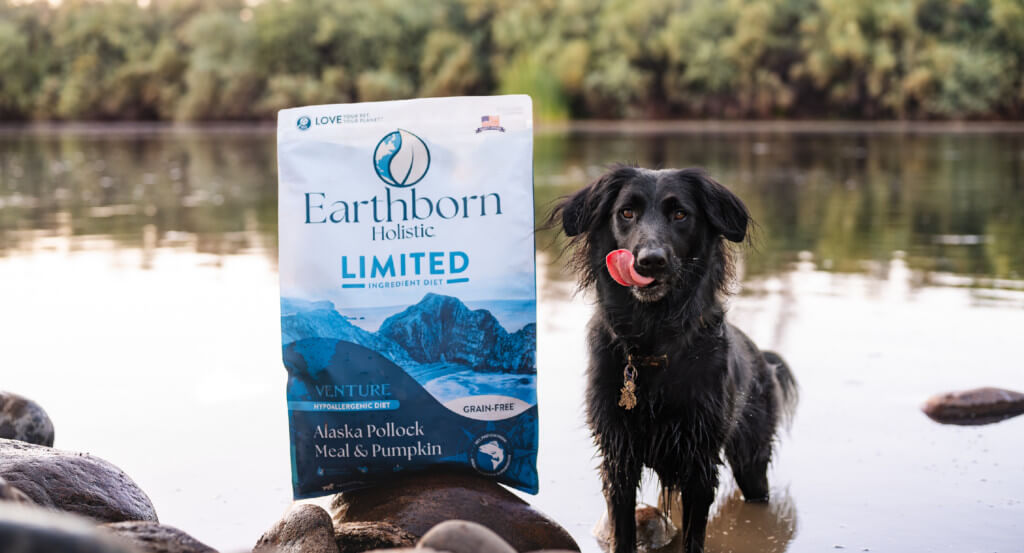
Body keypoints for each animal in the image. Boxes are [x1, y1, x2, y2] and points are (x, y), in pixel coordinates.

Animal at [552, 165, 798, 553]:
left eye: (680, 214)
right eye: (626, 212)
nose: (650, 261)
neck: (653, 344)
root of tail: (762, 356)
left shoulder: (700, 464)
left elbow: (694, 537)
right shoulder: (618, 459)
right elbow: (623, 531)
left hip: (751, 460)